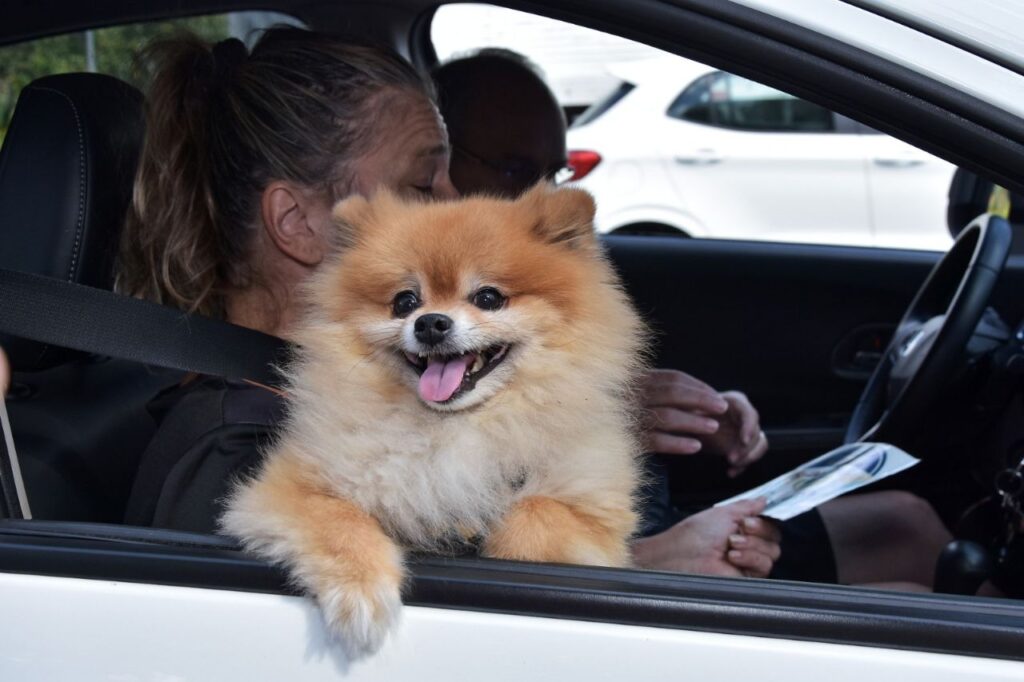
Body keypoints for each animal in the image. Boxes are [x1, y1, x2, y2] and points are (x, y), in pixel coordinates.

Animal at [223, 183, 643, 655]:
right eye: (404, 302)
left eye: (488, 298)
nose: (430, 323)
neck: (454, 429)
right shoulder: (283, 489)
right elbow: (339, 521)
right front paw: (360, 592)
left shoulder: (596, 519)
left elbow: (534, 513)